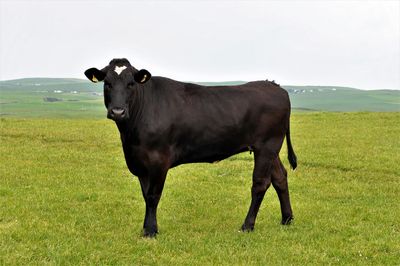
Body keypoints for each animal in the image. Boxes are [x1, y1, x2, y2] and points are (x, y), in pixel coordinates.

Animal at [85, 58, 296, 237]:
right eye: (107, 83)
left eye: (131, 84)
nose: (117, 111)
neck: (130, 136)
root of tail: (273, 85)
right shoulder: (140, 161)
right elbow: (145, 195)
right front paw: (147, 228)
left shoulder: (158, 160)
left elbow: (153, 195)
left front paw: (151, 231)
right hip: (271, 150)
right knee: (280, 177)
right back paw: (287, 219)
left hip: (267, 146)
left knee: (260, 183)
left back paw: (247, 225)